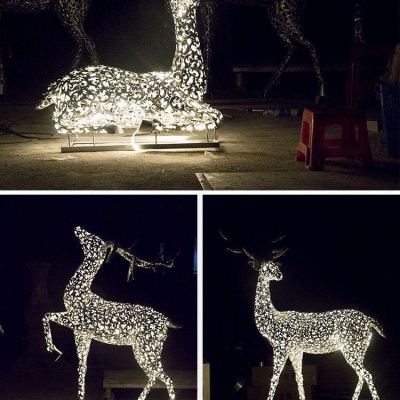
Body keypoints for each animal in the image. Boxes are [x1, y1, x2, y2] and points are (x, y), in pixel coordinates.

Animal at [43, 227, 180, 400]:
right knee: (155, 376)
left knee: (166, 378)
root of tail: (166, 321)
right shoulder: (82, 335)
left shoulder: (77, 321)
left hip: (149, 348)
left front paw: (53, 349)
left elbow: (46, 314)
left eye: (93, 238)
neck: (78, 294)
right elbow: (82, 369)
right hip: (141, 349)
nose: (78, 228)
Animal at [222, 233, 384, 400]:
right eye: (264, 267)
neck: (272, 318)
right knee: (361, 374)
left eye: (275, 265)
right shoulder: (296, 350)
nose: (279, 275)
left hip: (351, 347)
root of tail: (369, 321)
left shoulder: (281, 347)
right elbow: (299, 377)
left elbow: (274, 378)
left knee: (367, 374)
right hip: (360, 349)